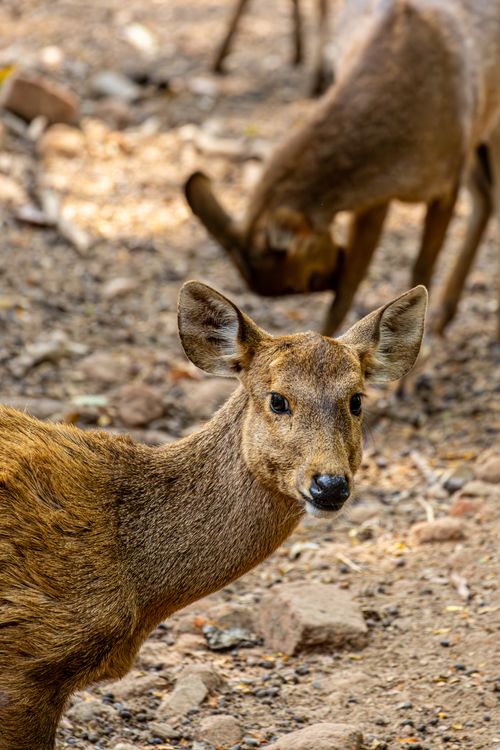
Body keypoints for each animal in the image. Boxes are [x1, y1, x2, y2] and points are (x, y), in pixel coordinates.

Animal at [186, 0, 500, 338]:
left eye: (302, 281)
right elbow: (350, 289)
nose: (334, 273)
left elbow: (422, 270)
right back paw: (446, 315)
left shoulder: (448, 180)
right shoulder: (375, 198)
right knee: (485, 197)